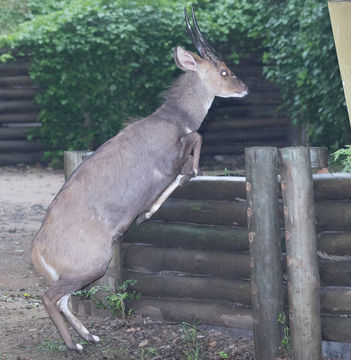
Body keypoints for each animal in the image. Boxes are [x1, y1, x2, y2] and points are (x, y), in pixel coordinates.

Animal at [31, 7, 249, 352]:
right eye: (224, 71)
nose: (245, 88)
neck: (172, 118)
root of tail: (37, 255)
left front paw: (147, 211)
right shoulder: (169, 157)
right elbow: (193, 151)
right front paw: (149, 210)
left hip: (81, 270)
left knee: (63, 298)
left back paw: (90, 336)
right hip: (93, 262)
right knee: (50, 297)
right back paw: (75, 345)